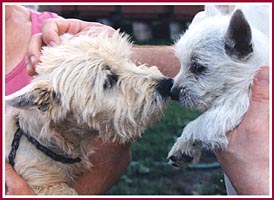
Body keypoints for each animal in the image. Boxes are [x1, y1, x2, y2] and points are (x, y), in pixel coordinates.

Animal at [168, 5, 268, 167]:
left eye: (198, 67)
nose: (172, 92)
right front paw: (185, 149)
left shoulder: (235, 104)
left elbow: (200, 123)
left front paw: (183, 145)